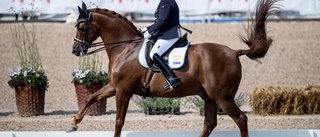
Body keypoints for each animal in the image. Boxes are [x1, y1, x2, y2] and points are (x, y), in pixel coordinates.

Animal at [69, 0, 278, 137]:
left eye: (82, 27)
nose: (75, 50)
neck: (126, 48)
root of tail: (234, 52)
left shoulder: (123, 90)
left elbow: (119, 122)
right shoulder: (114, 87)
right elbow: (91, 97)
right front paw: (73, 123)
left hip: (223, 97)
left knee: (241, 119)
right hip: (209, 96)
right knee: (210, 123)